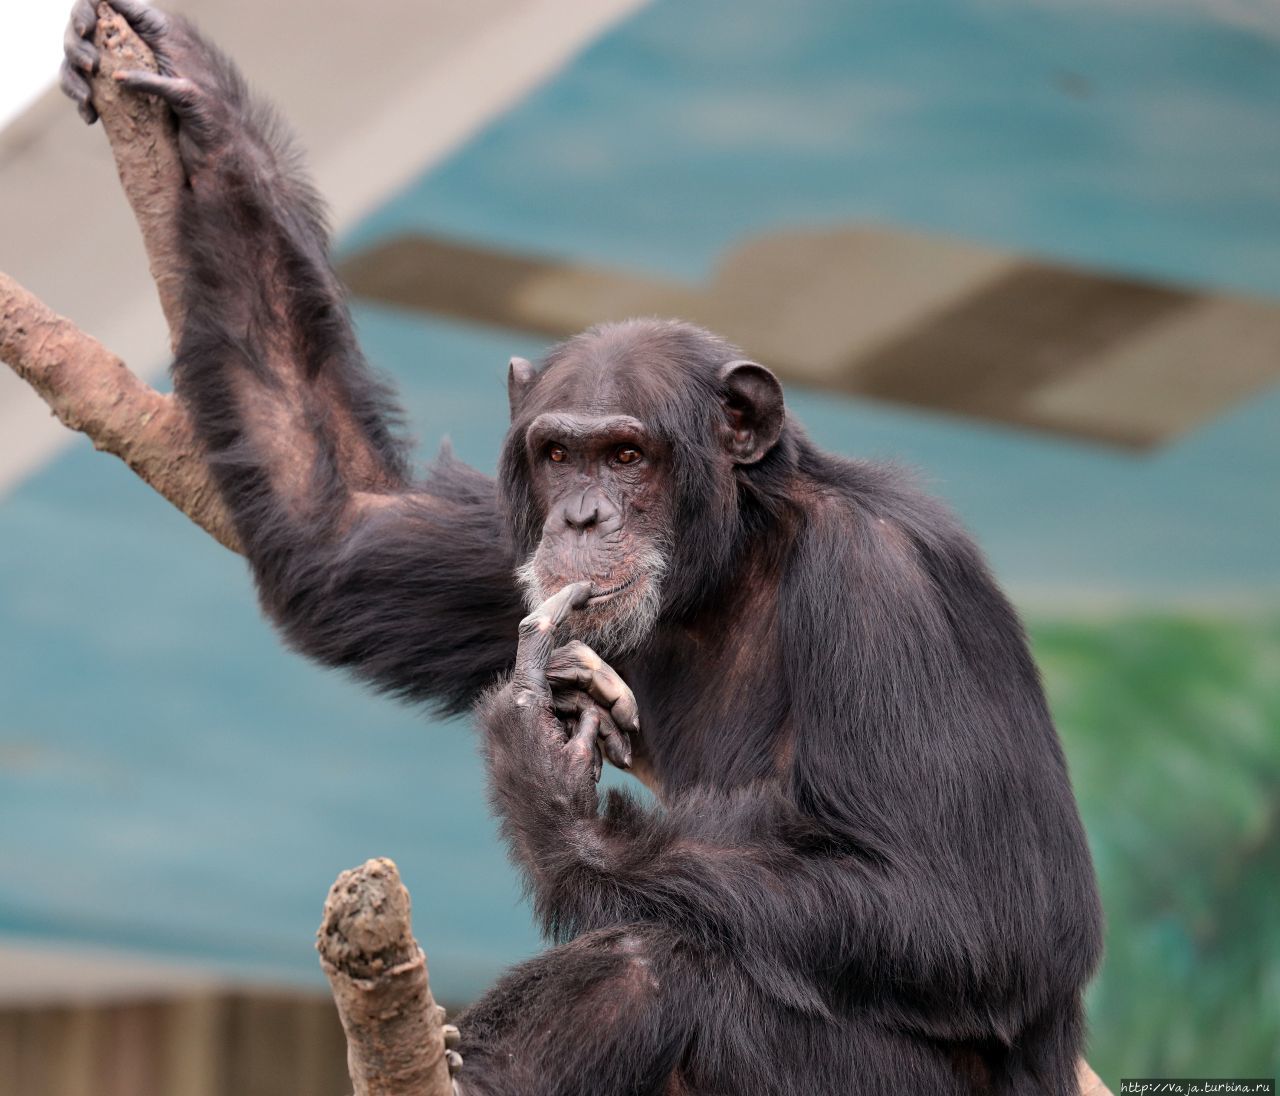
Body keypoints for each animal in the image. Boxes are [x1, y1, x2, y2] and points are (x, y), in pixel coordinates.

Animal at [62, 4, 1100, 1090]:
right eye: (560, 453)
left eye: (628, 454)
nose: (583, 518)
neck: (731, 564)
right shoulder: (510, 544)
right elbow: (340, 528)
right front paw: (209, 118)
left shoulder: (890, 586)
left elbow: (980, 911)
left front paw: (548, 786)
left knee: (669, 956)